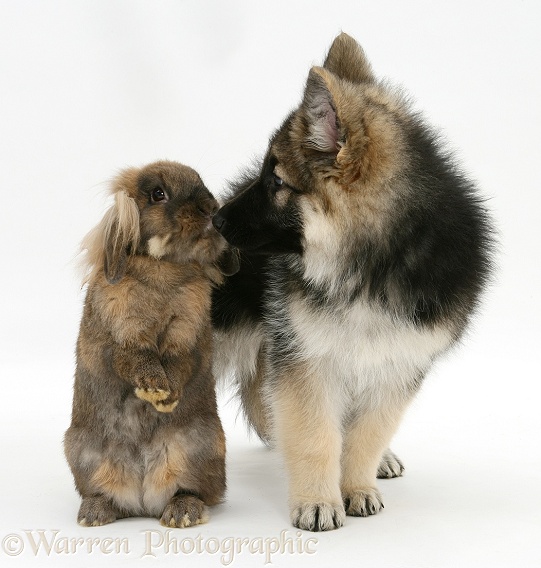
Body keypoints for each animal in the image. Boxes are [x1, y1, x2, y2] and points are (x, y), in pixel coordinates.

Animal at [211, 34, 494, 532]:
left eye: (276, 181)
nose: (217, 219)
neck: (374, 262)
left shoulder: (397, 366)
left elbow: (365, 434)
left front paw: (357, 486)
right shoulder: (307, 361)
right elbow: (316, 436)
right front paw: (317, 500)